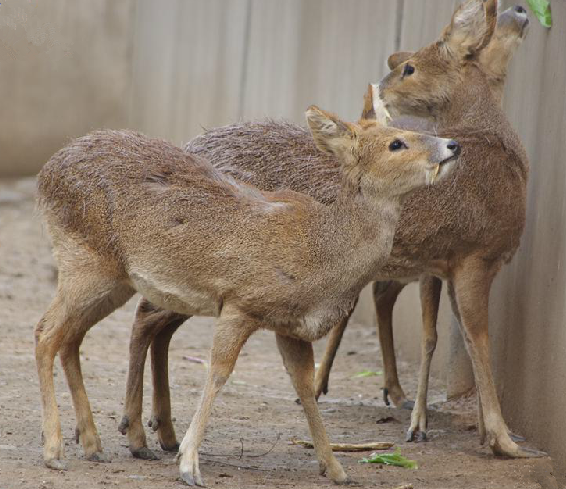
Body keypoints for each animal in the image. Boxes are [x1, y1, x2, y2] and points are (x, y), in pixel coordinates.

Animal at [36, 107, 462, 484]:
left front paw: (336, 468)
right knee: (46, 332)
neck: (321, 252)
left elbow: (304, 387)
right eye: (396, 142)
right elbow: (219, 371)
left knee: (72, 337)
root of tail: (48, 171)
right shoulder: (240, 303)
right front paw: (189, 464)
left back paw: (94, 443)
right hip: (83, 264)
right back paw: (56, 450)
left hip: (115, 281)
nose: (453, 145)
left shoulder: (291, 326)